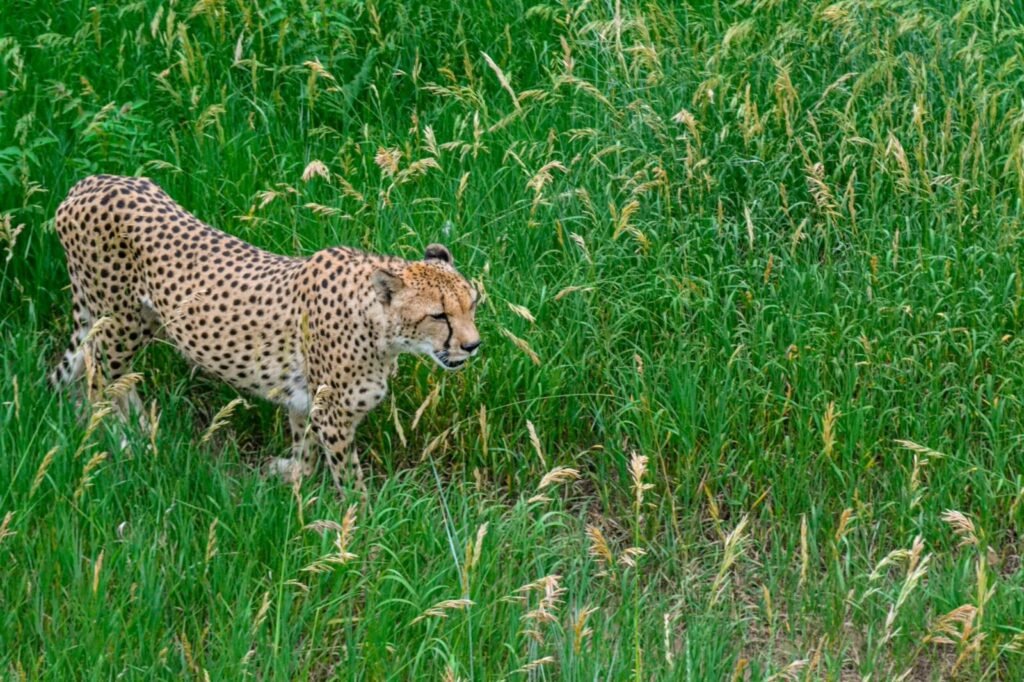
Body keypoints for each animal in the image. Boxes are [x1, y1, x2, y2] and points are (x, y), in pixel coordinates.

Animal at [49, 174, 481, 492]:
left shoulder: (307, 402)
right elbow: (348, 479)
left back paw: (140, 431)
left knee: (109, 373)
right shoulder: (333, 412)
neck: (381, 331)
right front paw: (360, 529)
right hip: (121, 322)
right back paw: (114, 440)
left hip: (137, 320)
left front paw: (291, 477)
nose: (473, 345)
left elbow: (306, 450)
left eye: (472, 305)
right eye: (439, 315)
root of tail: (90, 181)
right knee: (97, 377)